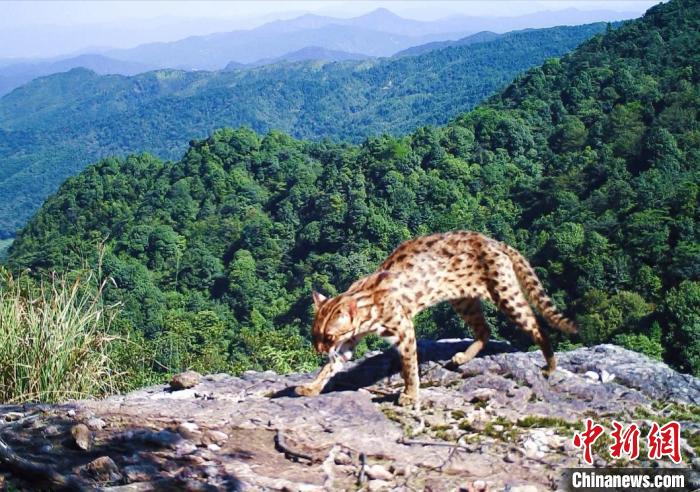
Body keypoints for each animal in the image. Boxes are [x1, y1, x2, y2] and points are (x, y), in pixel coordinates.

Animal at [296, 231, 576, 408]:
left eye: (328, 336)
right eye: (315, 335)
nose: (318, 349)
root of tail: (493, 240)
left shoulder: (403, 329)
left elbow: (409, 367)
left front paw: (410, 394)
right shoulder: (347, 344)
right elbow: (329, 368)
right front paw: (312, 387)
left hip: (506, 296)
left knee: (537, 326)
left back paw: (550, 365)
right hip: (463, 300)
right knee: (484, 330)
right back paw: (463, 357)